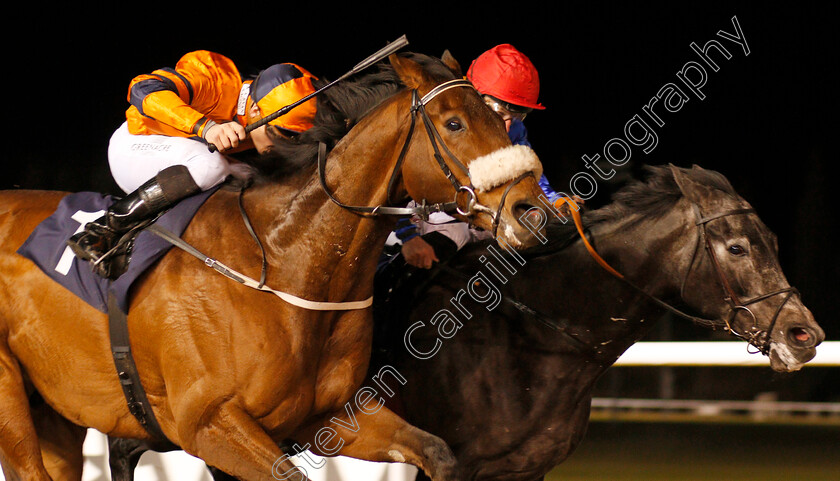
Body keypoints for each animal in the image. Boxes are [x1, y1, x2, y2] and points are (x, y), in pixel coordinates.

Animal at [0, 50, 548, 478]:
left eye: (499, 120)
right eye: (455, 123)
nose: (530, 210)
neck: (285, 262)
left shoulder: (327, 415)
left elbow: (438, 452)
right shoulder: (207, 424)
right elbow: (155, 83)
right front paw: (219, 131)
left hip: (57, 414)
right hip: (12, 402)